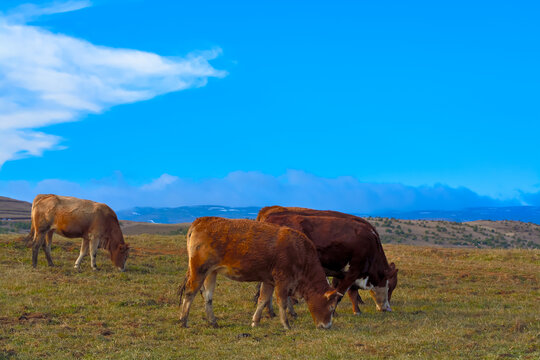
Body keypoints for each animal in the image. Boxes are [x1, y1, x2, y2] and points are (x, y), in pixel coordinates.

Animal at [177, 217, 340, 330]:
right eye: (331, 308)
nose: (327, 326)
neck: (300, 252)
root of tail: (199, 221)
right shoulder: (282, 280)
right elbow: (282, 302)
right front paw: (286, 324)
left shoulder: (269, 280)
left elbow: (263, 299)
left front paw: (255, 321)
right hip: (199, 270)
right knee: (190, 292)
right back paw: (183, 321)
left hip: (211, 272)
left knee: (208, 297)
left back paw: (213, 321)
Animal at [255, 207, 398, 314]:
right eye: (390, 287)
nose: (388, 308)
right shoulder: (353, 270)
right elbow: (340, 292)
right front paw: (334, 310)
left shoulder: (344, 272)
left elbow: (347, 291)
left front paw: (355, 310)